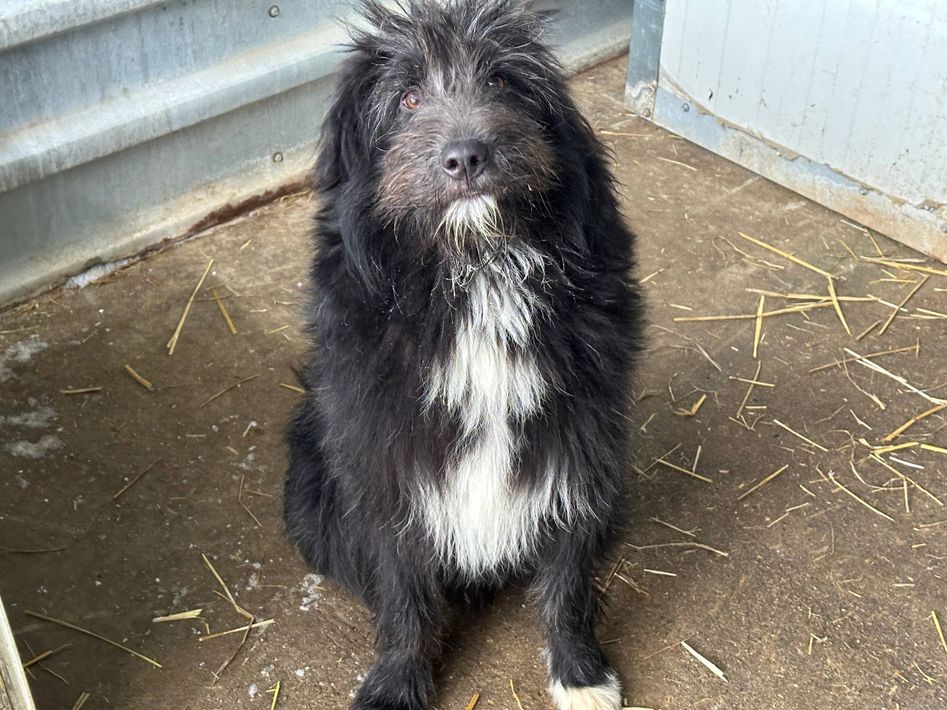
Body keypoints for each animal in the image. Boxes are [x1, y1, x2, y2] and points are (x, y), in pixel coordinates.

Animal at [284, 1, 642, 708]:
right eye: (407, 97)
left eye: (503, 82)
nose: (467, 157)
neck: (476, 271)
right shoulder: (385, 464)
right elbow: (401, 591)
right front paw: (396, 683)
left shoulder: (578, 443)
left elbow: (568, 574)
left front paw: (578, 671)